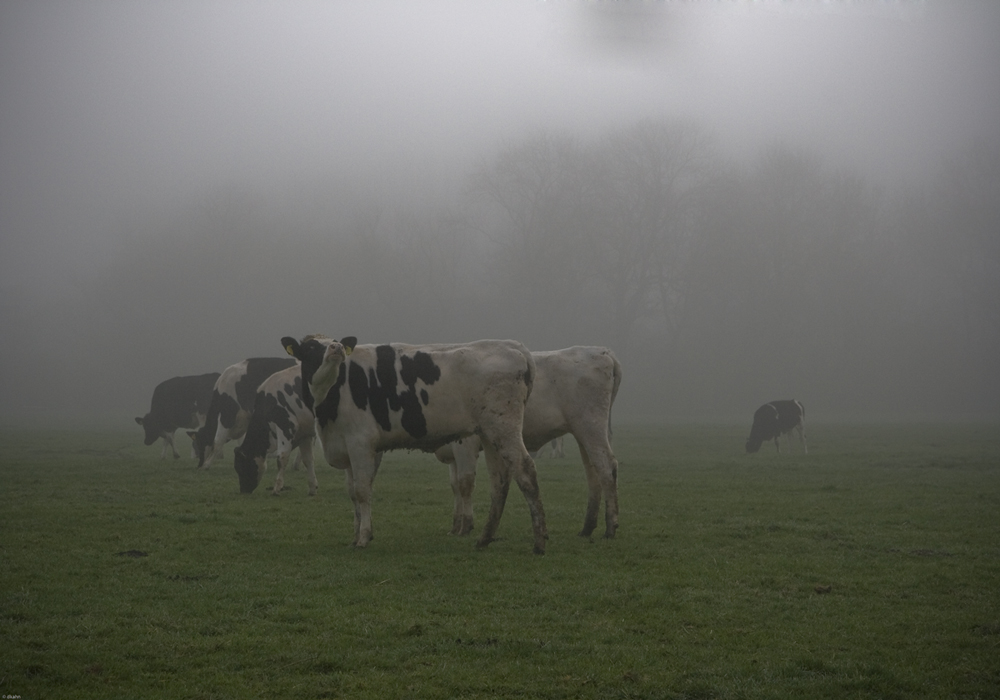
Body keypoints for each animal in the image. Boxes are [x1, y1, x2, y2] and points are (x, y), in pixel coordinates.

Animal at [231, 364, 316, 494]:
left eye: (240, 467)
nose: (243, 490)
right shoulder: (304, 433)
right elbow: (308, 459)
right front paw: (312, 488)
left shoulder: (286, 426)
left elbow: (281, 458)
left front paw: (277, 488)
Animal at [280, 336, 548, 556]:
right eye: (311, 347)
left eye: (335, 341)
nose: (336, 348)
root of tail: (513, 346)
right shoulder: (348, 447)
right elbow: (353, 493)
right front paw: (357, 535)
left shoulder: (360, 443)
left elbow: (362, 491)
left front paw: (364, 537)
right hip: (489, 433)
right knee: (499, 482)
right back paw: (485, 538)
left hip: (503, 427)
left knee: (525, 471)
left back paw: (539, 541)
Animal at [434, 348, 620, 540]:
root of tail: (601, 352)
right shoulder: (452, 454)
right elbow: (455, 485)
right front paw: (455, 526)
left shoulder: (465, 444)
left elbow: (465, 484)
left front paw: (465, 527)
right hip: (583, 433)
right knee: (593, 473)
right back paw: (587, 527)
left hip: (592, 427)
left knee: (607, 467)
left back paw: (610, 528)